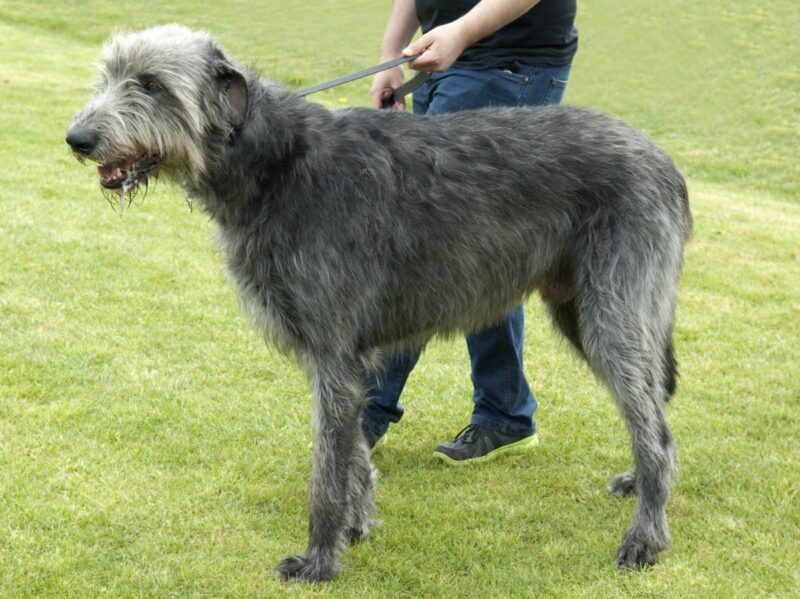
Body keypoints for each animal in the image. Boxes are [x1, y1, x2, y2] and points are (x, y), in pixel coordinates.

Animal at [69, 25, 692, 584]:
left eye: (151, 84)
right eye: (110, 75)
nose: (78, 139)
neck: (275, 164)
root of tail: (667, 162)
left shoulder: (333, 351)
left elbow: (326, 469)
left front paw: (319, 561)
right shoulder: (342, 360)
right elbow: (354, 452)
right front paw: (358, 524)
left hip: (613, 309)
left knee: (654, 430)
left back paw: (644, 539)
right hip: (579, 309)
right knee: (653, 412)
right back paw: (638, 484)